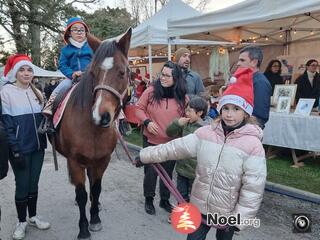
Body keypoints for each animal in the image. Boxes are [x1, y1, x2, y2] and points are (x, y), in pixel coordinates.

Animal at [54, 29, 132, 239]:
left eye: (122, 72)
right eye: (93, 73)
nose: (101, 115)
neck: (92, 128)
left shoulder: (102, 160)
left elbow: (96, 190)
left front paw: (95, 219)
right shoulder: (74, 161)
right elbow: (82, 195)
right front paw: (83, 228)